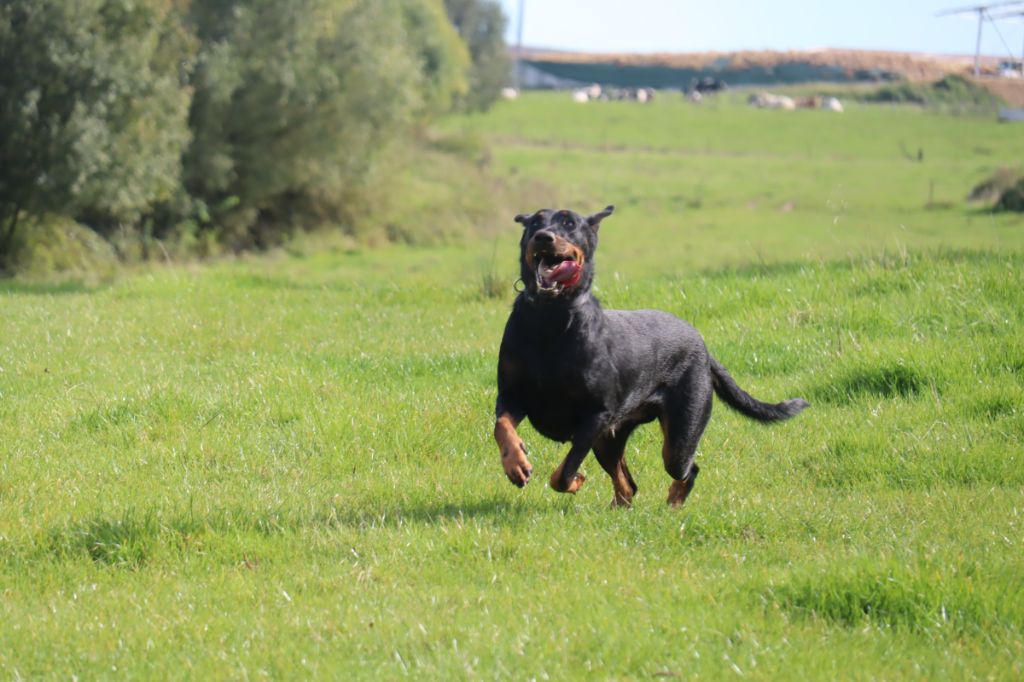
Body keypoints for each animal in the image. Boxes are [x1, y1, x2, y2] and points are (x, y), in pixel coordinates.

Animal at [493, 205, 808, 507]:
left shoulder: (596, 414)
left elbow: (564, 473)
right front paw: (516, 464)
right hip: (610, 439)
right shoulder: (512, 395)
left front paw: (575, 481)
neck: (550, 318)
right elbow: (502, 427)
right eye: (535, 222)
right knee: (628, 485)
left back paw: (673, 504)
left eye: (570, 223)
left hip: (678, 435)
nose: (543, 236)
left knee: (685, 469)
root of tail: (704, 347)